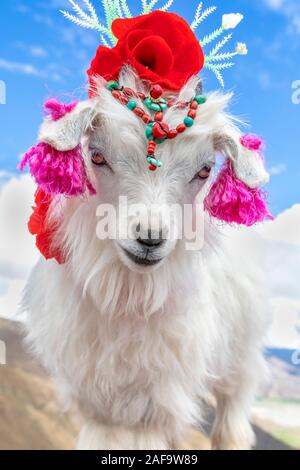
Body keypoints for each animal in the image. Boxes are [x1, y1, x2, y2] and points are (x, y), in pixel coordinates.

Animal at [21, 71, 270, 450]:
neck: (128, 293)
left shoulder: (153, 398)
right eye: (97, 156)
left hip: (241, 350)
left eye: (204, 171)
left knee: (234, 406)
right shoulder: (98, 399)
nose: (150, 238)